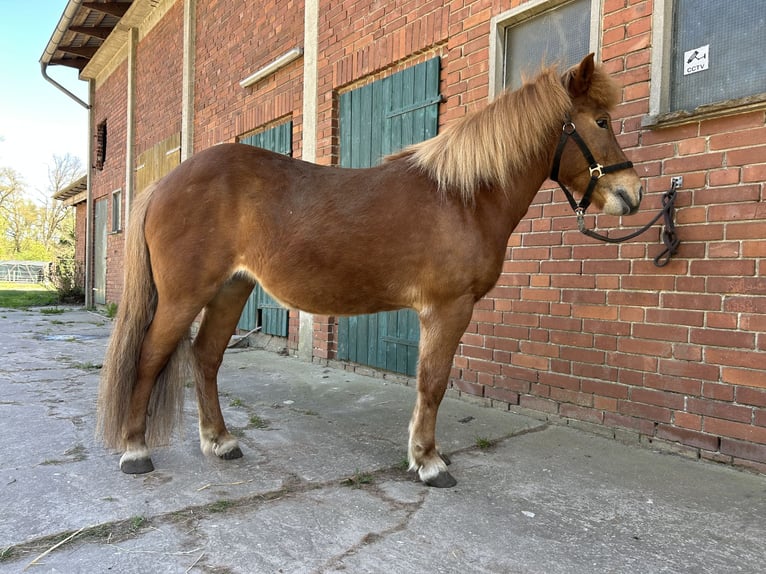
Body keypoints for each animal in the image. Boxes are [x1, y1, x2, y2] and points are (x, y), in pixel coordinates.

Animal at [97, 53, 642, 488]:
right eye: (600, 121)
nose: (632, 194)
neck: (462, 198)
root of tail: (165, 182)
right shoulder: (447, 309)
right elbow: (432, 383)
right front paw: (428, 462)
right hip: (183, 296)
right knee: (148, 358)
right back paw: (136, 451)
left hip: (231, 289)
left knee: (206, 358)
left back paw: (221, 441)